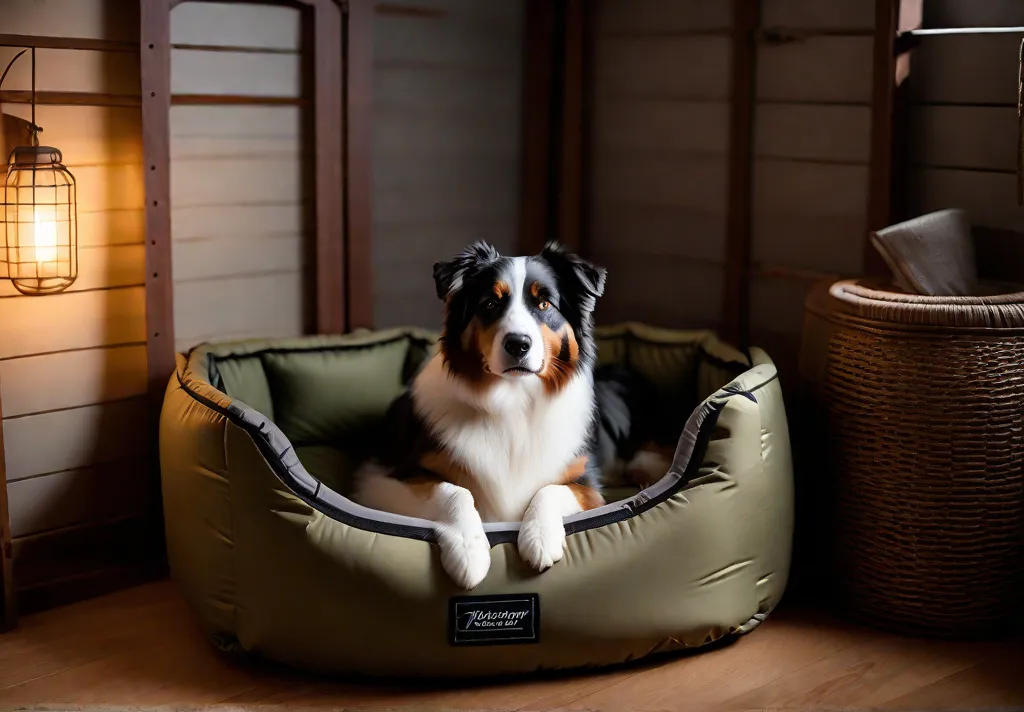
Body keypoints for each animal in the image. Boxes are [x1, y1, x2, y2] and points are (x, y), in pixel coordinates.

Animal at [354, 240, 671, 590]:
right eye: (491, 303)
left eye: (544, 303)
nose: (518, 344)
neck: (512, 399)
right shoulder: (383, 478)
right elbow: (455, 491)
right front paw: (469, 552)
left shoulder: (589, 486)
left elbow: (549, 489)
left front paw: (540, 537)